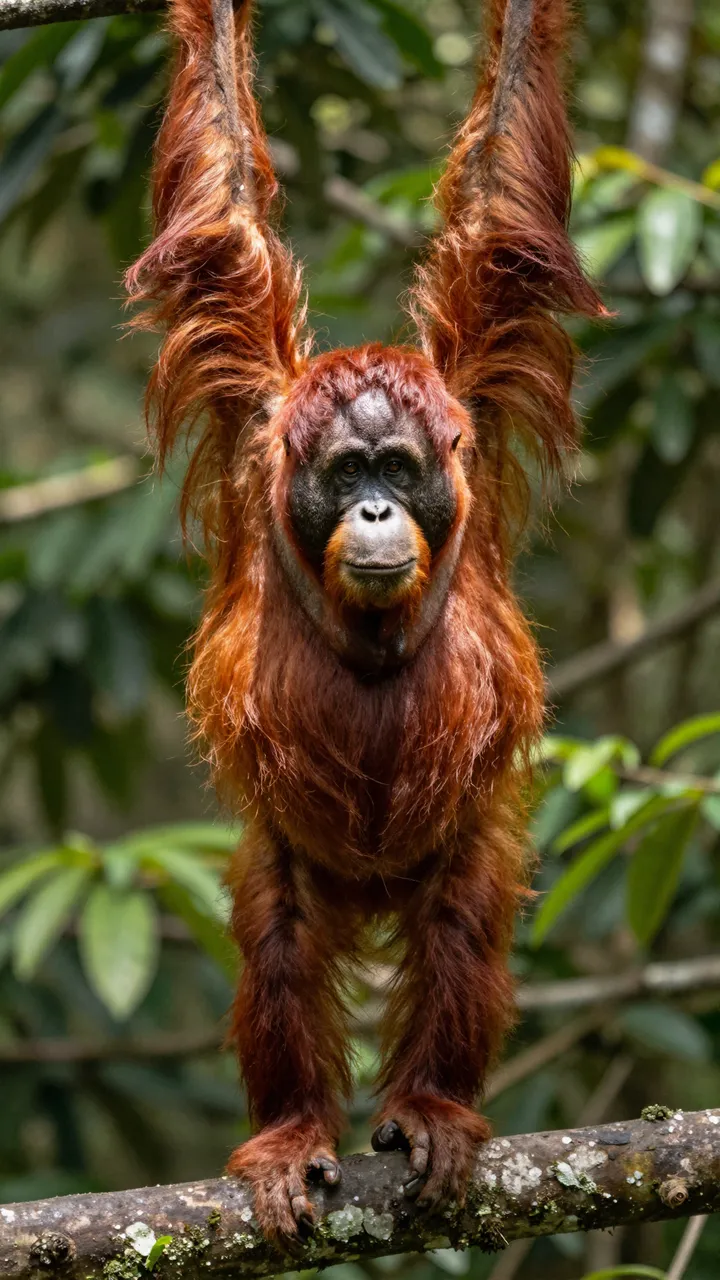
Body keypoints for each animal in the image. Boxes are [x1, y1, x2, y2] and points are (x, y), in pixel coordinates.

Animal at [126, 0, 605, 1242]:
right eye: (347, 473)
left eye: (399, 465)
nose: (381, 508)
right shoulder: (255, 403)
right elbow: (219, 211)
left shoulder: (474, 381)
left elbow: (505, 209)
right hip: (299, 861)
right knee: (282, 937)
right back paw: (296, 1131)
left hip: (455, 849)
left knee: (461, 919)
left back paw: (430, 1105)